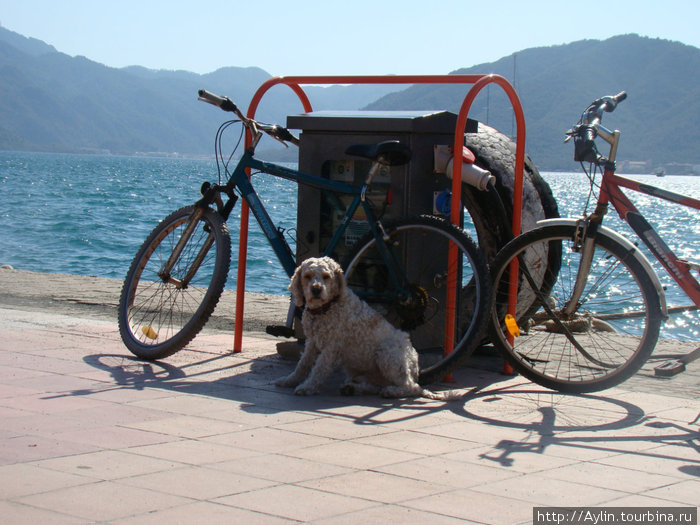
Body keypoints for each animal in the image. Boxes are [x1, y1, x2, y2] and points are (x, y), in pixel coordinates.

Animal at [274, 256, 454, 400]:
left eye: (326, 277)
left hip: (387, 354)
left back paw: (391, 392)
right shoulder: (312, 342)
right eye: (307, 276)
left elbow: (319, 369)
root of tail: (415, 370)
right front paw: (288, 381)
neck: (326, 308)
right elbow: (302, 365)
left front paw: (307, 387)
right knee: (375, 386)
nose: (316, 289)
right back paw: (352, 388)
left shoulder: (332, 348)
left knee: (411, 388)